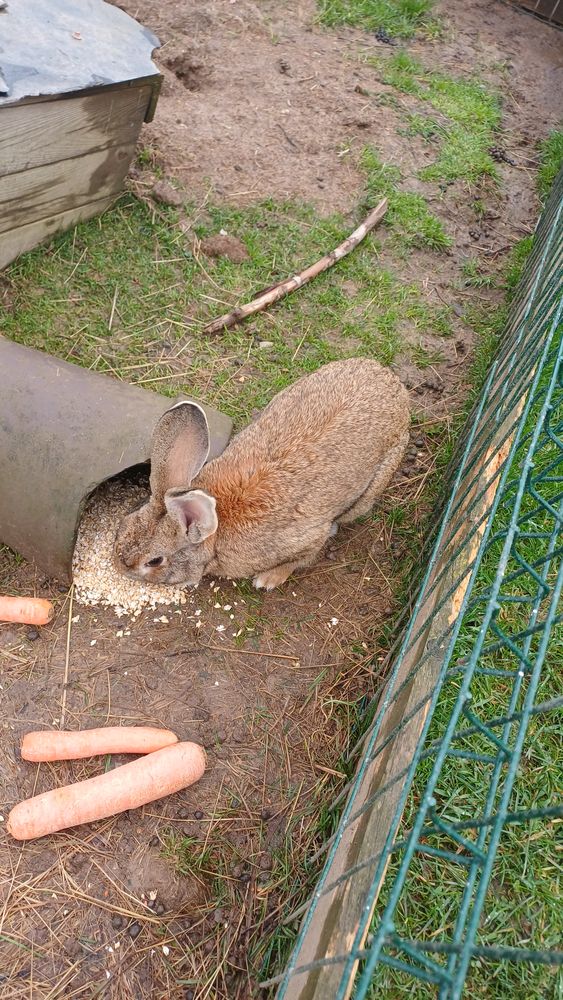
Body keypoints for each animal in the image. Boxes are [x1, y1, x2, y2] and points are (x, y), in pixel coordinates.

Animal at [114, 357, 410, 591]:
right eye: (124, 523)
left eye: (154, 561)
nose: (119, 566)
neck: (215, 537)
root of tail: (392, 382)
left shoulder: (305, 539)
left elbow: (302, 557)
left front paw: (268, 579)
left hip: (373, 486)